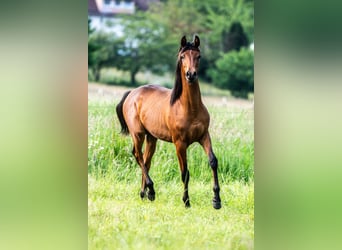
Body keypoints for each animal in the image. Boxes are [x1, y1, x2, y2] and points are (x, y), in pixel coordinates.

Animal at [115, 34, 222, 208]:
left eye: (198, 56)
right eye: (182, 56)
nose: (191, 75)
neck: (189, 108)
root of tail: (132, 93)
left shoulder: (204, 136)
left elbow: (213, 161)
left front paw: (216, 200)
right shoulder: (180, 144)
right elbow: (185, 173)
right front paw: (186, 201)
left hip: (151, 138)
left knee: (146, 160)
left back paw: (144, 194)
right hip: (138, 134)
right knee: (138, 155)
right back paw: (151, 191)